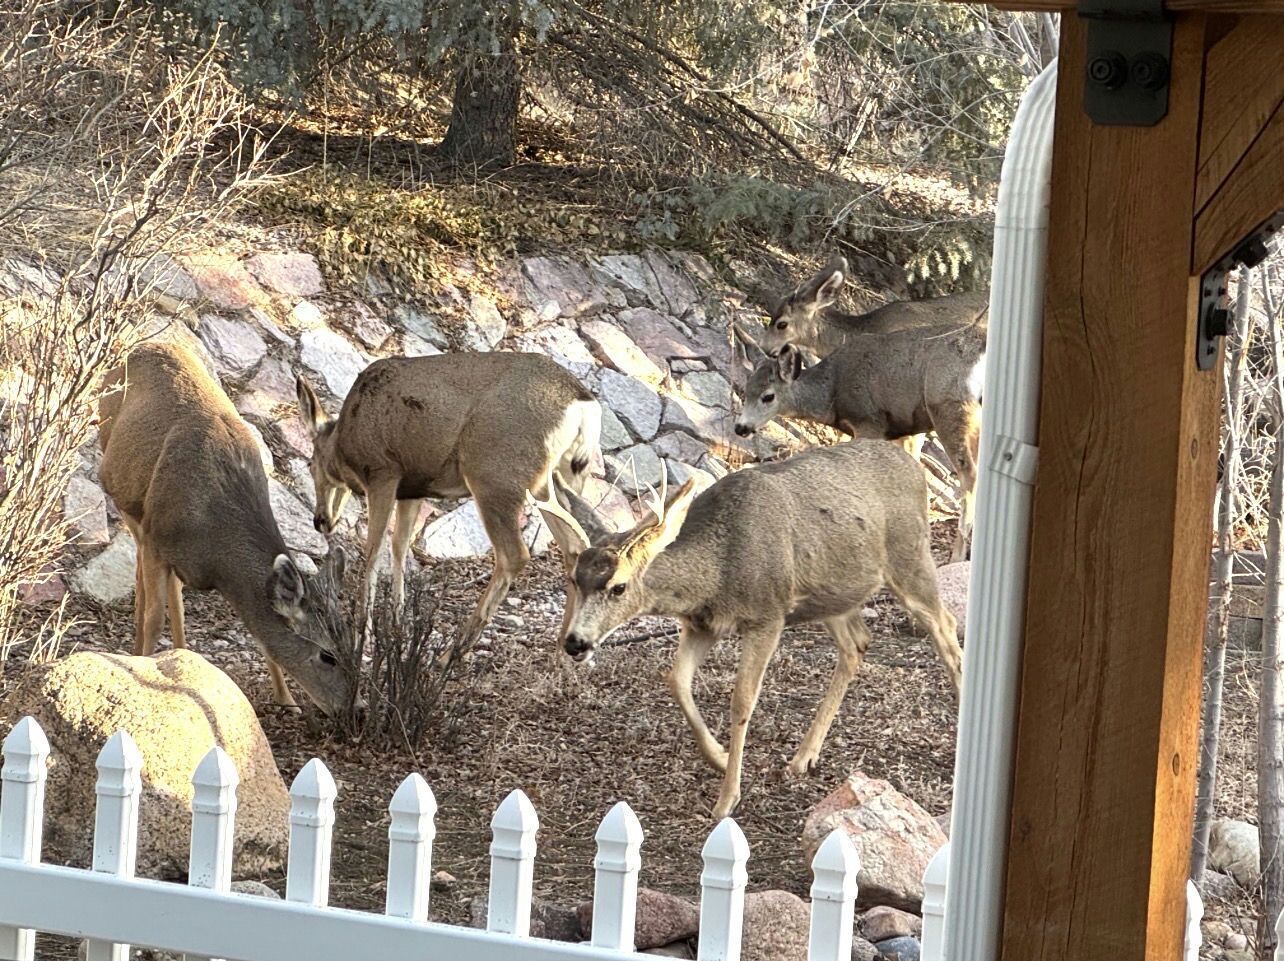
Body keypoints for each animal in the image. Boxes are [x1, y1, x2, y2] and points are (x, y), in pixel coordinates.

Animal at [98, 342, 356, 716]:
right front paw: (140, 670)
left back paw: (182, 652)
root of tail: (141, 345)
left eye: (353, 645)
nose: (356, 709)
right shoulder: (156, 537)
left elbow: (260, 636)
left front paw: (287, 699)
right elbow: (153, 619)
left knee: (170, 587)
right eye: (327, 655)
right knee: (144, 577)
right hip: (121, 487)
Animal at [295, 351, 602, 649]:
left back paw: (452, 653)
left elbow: (374, 551)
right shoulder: (413, 488)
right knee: (575, 545)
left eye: (311, 465)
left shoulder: (383, 470)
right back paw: (564, 647)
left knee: (514, 555)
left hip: (495, 475)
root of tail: (583, 406)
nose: (320, 520)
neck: (345, 444)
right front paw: (397, 623)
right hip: (556, 479)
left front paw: (364, 637)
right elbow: (399, 546)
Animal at [532, 440, 962, 820]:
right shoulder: (702, 624)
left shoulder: (767, 615)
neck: (716, 571)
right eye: (574, 579)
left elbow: (742, 700)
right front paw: (720, 757)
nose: (575, 642)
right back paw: (803, 757)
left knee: (946, 626)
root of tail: (915, 468)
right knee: (858, 643)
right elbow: (676, 680)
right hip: (833, 594)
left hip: (910, 556)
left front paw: (727, 799)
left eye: (618, 586)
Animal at [734, 322, 985, 562]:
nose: (740, 427)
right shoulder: (908, 428)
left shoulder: (869, 420)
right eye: (746, 391)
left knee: (969, 474)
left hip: (949, 407)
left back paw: (957, 554)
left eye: (768, 396)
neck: (832, 393)